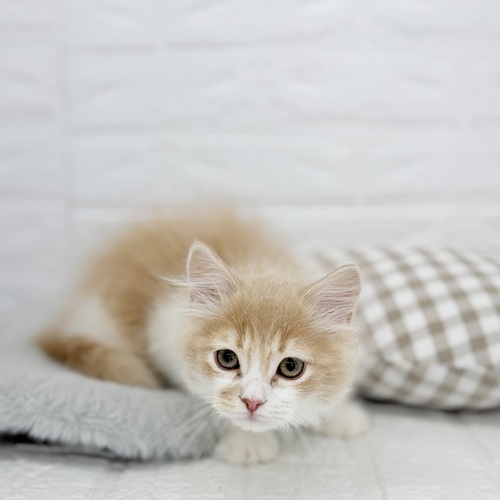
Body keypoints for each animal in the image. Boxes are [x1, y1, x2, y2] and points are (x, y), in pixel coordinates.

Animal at [37, 206, 369, 464]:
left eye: (290, 367)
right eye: (227, 359)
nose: (252, 402)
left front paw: (338, 415)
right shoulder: (164, 334)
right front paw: (246, 442)